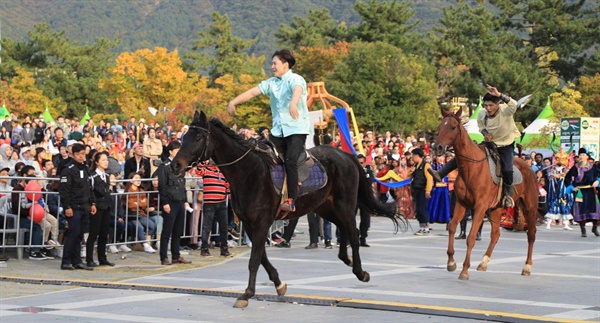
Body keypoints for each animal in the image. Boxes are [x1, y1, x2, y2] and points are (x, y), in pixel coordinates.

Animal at [171, 111, 396, 308]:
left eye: (198, 137)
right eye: (184, 136)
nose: (175, 165)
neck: (248, 172)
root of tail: (347, 156)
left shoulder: (261, 222)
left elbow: (254, 259)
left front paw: (247, 294)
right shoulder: (250, 224)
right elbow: (261, 256)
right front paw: (279, 284)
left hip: (344, 205)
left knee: (353, 232)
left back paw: (360, 271)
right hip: (325, 207)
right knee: (345, 230)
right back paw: (346, 259)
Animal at [434, 109, 536, 280]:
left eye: (453, 127)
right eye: (440, 126)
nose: (438, 148)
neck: (471, 168)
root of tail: (528, 166)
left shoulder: (480, 207)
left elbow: (471, 237)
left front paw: (464, 270)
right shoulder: (462, 203)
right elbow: (453, 226)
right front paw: (451, 262)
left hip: (529, 206)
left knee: (531, 234)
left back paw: (527, 266)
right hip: (496, 208)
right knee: (495, 234)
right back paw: (483, 262)